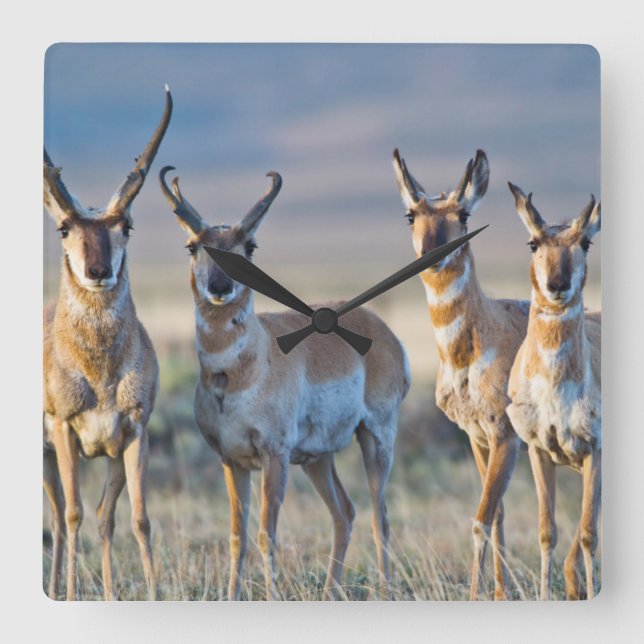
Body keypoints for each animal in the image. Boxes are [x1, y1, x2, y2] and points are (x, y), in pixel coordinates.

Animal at [43, 88, 172, 600]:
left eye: (126, 226)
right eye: (64, 228)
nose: (98, 271)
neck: (99, 374)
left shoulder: (132, 435)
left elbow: (131, 519)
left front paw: (145, 594)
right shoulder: (64, 431)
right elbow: (74, 515)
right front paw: (74, 594)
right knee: (58, 520)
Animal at [159, 166, 410, 600]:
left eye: (249, 246)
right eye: (192, 246)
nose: (221, 287)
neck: (240, 373)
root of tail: (381, 328)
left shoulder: (274, 455)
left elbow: (266, 533)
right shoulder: (231, 460)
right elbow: (237, 536)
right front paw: (231, 596)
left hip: (376, 438)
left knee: (380, 517)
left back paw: (384, 589)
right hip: (317, 458)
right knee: (345, 513)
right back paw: (329, 591)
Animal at [392, 149, 528, 600]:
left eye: (464, 213)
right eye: (411, 214)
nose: (432, 253)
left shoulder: (506, 437)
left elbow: (481, 519)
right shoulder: (477, 437)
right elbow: (498, 513)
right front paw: (500, 593)